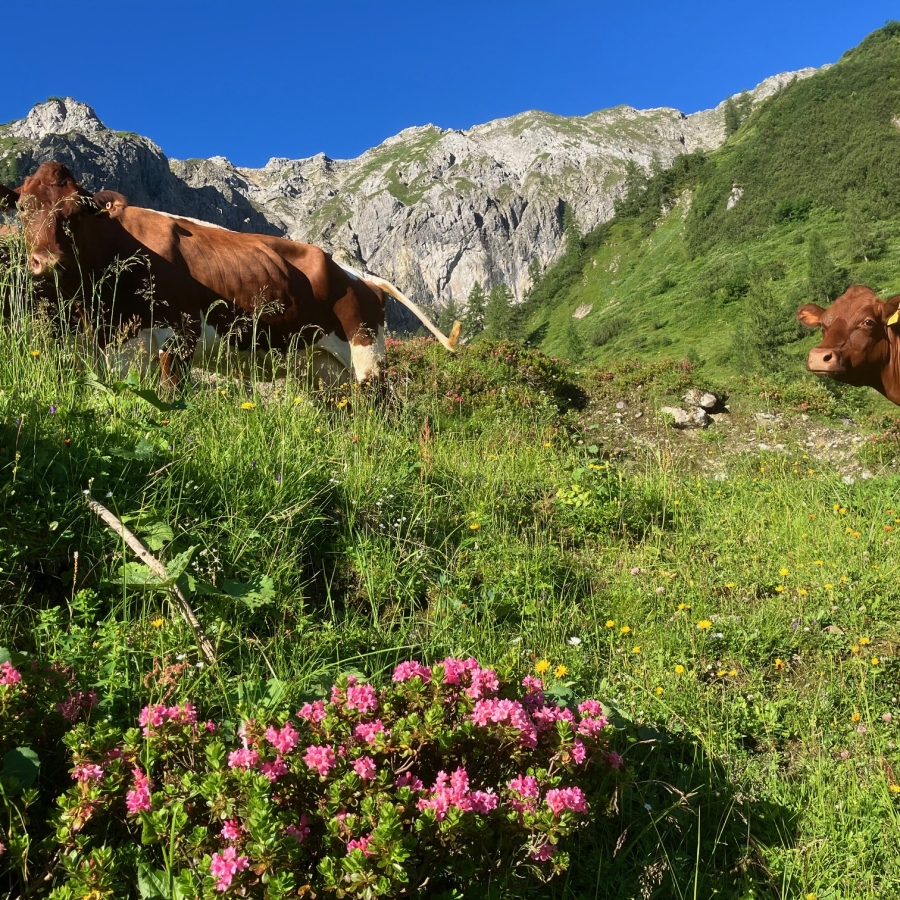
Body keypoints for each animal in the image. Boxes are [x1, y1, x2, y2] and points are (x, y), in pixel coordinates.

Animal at [0, 162, 460, 384]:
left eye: (76, 213)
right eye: (23, 209)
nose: (46, 263)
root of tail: (362, 274)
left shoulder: (180, 336)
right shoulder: (114, 347)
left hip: (368, 355)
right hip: (321, 367)